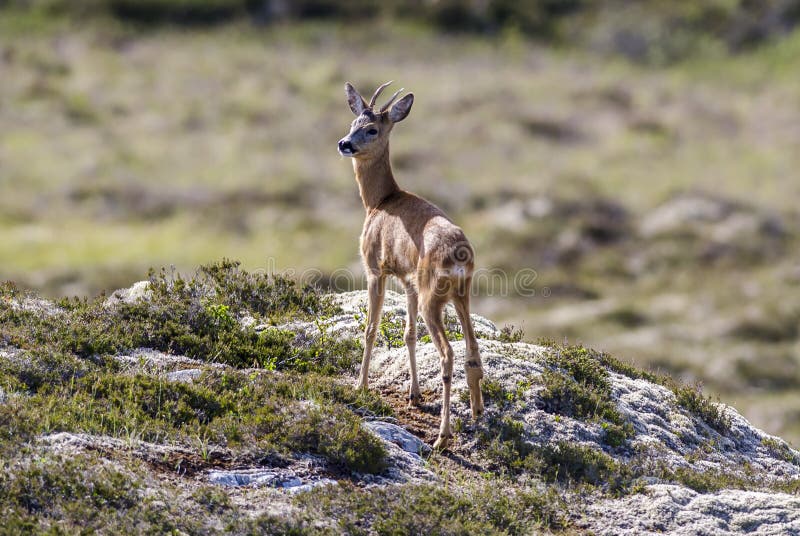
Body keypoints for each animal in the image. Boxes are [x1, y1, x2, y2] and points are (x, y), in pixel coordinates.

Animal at [337, 81, 485, 450]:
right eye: (353, 123)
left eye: (372, 129)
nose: (344, 143)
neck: (380, 202)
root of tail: (460, 254)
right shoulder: (408, 281)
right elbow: (408, 334)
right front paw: (414, 394)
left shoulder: (375, 268)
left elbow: (371, 329)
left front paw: (361, 385)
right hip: (462, 294)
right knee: (472, 347)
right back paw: (477, 411)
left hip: (435, 296)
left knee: (448, 353)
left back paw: (443, 436)